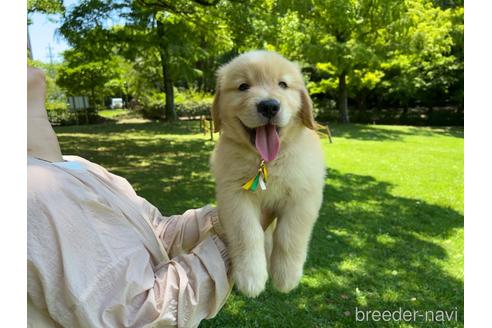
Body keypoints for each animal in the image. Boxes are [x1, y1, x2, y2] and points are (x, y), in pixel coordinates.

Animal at [209, 49, 324, 298]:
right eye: (243, 86)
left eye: (283, 84)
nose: (269, 106)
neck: (266, 162)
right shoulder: (233, 195)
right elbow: (247, 232)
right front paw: (251, 276)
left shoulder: (304, 195)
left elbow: (289, 235)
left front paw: (286, 276)